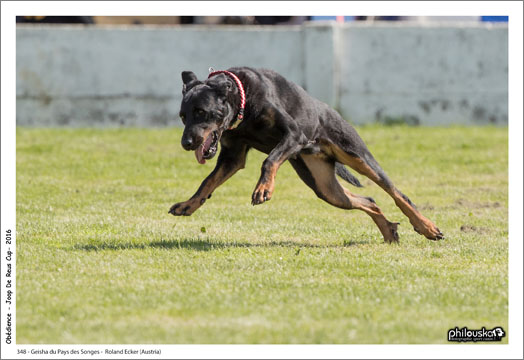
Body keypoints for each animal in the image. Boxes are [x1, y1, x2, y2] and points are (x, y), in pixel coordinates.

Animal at [169, 66, 442, 243]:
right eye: (183, 116)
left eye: (201, 112)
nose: (186, 143)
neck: (242, 103)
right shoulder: (232, 157)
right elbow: (208, 181)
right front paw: (189, 204)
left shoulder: (294, 135)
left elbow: (269, 160)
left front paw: (263, 189)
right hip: (325, 187)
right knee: (368, 200)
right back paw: (388, 231)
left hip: (357, 157)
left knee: (397, 194)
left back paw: (426, 227)